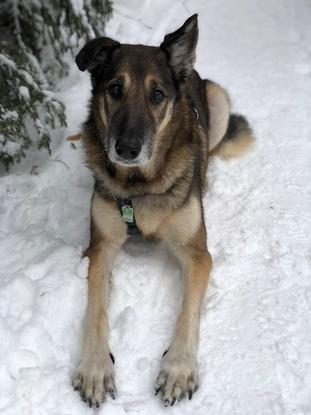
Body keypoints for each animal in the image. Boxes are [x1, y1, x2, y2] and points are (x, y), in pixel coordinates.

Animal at [72, 13, 255, 410]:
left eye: (157, 95)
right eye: (115, 89)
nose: (126, 149)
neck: (140, 186)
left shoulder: (196, 253)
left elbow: (187, 312)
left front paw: (178, 369)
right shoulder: (101, 247)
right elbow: (95, 310)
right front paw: (95, 368)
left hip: (218, 99)